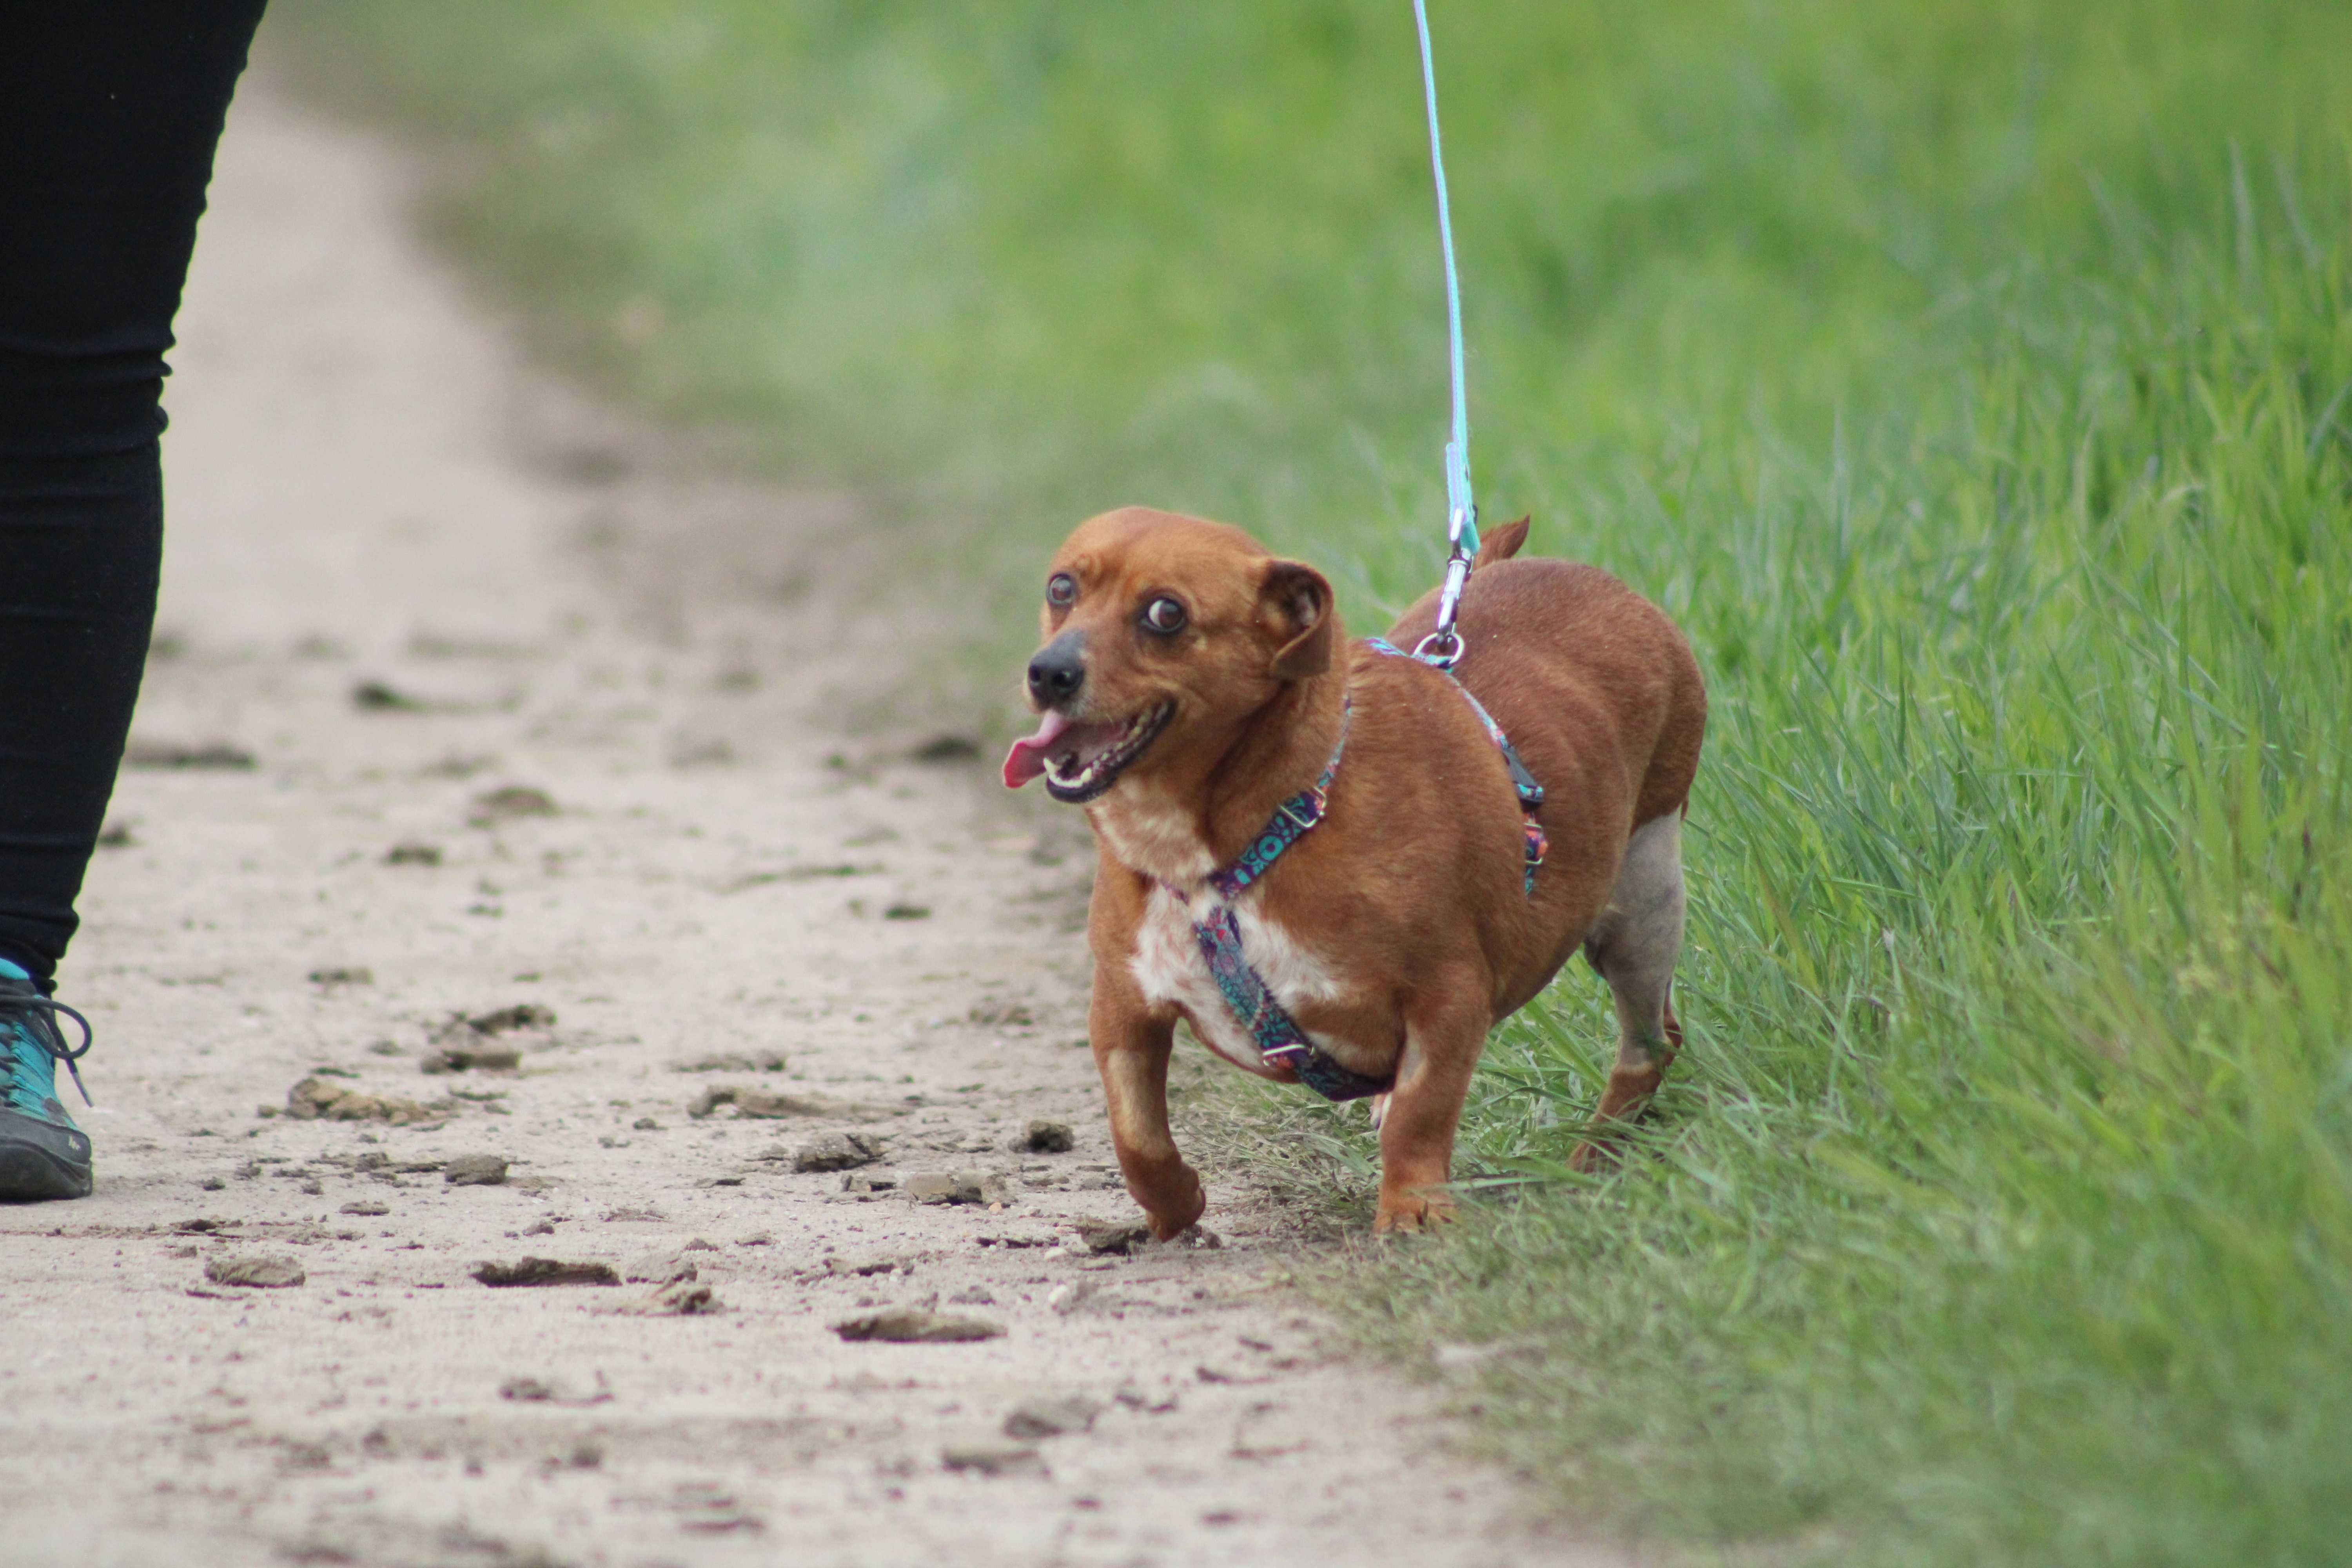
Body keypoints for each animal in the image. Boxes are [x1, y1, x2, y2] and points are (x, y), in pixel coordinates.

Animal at [1002, 510, 1703, 1232]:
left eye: (1165, 614)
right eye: (1062, 589)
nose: (1049, 672)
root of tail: (1599, 584)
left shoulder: (1449, 997)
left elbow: (1422, 1111)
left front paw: (1414, 1206)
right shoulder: (1123, 1007)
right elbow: (1135, 1135)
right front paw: (1175, 1207)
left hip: (1643, 909)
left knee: (1650, 1047)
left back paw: (1594, 1157)